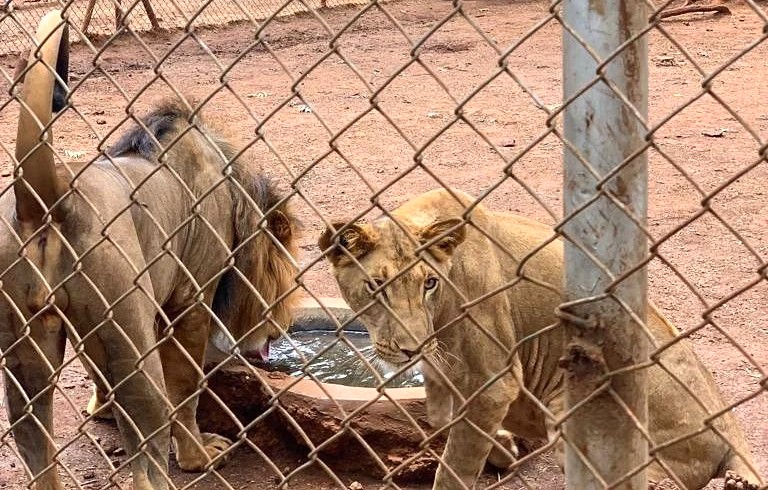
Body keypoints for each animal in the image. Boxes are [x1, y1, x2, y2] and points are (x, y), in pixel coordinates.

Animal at [2, 11, 298, 490]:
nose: (283, 327)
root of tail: (50, 199)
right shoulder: (191, 301)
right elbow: (188, 385)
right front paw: (199, 455)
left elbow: (97, 375)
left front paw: (100, 411)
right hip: (132, 345)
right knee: (148, 458)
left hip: (26, 349)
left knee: (34, 442)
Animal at [319, 188, 764, 490]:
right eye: (376, 287)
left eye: (429, 283)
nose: (412, 348)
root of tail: (729, 426)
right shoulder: (445, 372)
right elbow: (445, 419)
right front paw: (503, 447)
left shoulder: (494, 381)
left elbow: (455, 464)